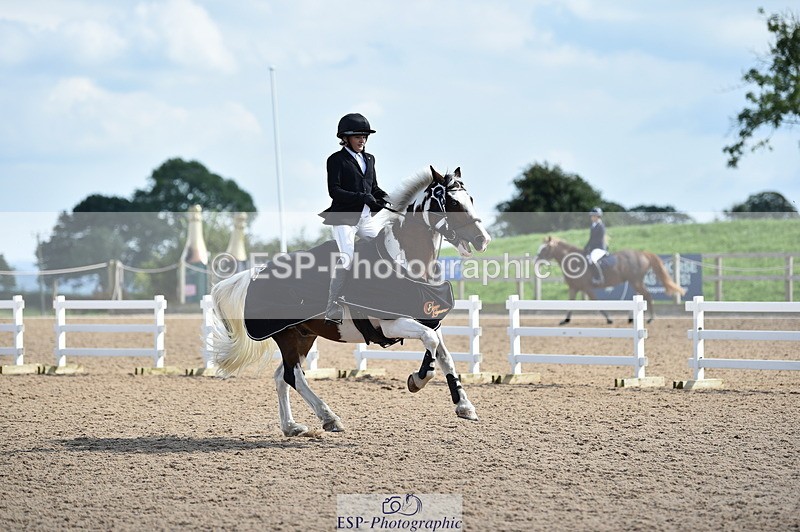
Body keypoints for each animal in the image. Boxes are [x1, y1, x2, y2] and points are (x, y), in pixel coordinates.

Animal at [209, 167, 491, 437]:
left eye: (471, 199)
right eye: (452, 202)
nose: (482, 239)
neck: (406, 263)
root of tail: (257, 272)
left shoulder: (429, 321)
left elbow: (444, 356)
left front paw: (464, 405)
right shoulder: (392, 324)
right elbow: (431, 345)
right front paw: (417, 380)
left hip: (303, 336)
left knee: (281, 376)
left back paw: (291, 426)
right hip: (287, 337)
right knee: (293, 376)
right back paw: (329, 418)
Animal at [535, 236, 685, 324]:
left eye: (545, 249)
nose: (536, 261)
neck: (575, 262)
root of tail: (642, 253)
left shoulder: (587, 288)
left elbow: (597, 303)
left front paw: (609, 319)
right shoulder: (574, 287)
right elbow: (570, 303)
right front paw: (565, 320)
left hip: (635, 281)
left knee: (647, 295)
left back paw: (651, 319)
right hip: (635, 282)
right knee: (641, 296)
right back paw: (633, 318)